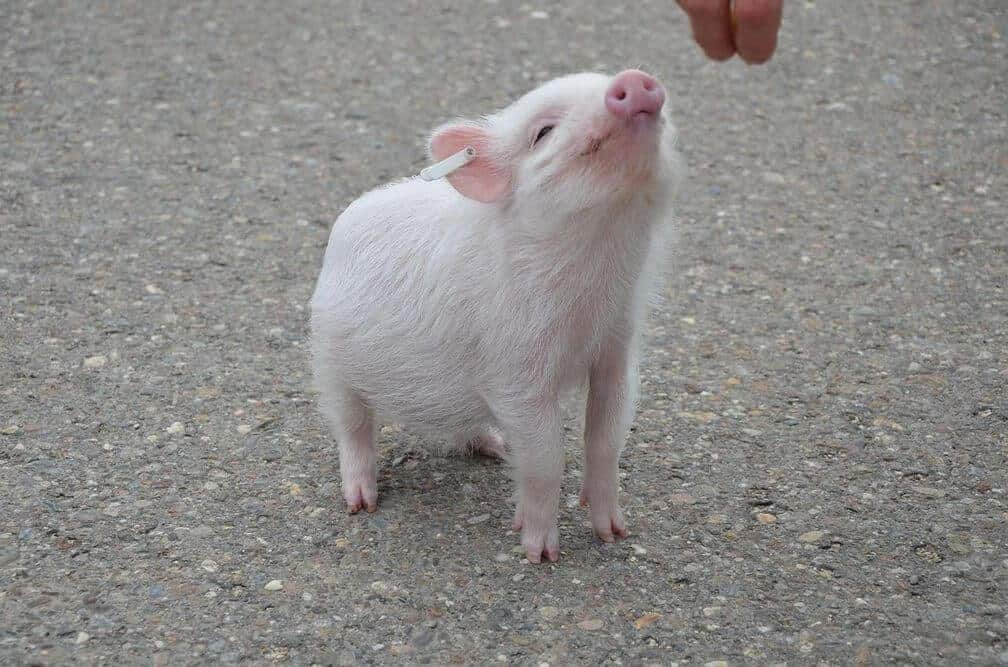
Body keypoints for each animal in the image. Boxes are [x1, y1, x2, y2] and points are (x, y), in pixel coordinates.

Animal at [310, 69, 681, 562]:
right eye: (543, 132)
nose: (634, 79)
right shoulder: (516, 368)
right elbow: (546, 457)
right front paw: (541, 555)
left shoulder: (617, 346)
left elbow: (606, 438)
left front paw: (614, 534)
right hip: (328, 357)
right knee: (351, 427)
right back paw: (360, 502)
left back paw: (495, 446)